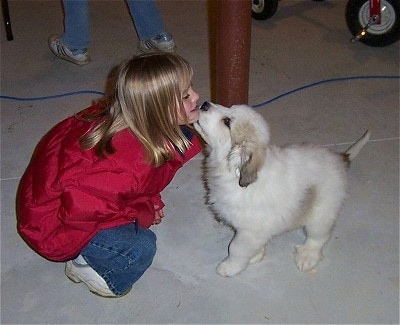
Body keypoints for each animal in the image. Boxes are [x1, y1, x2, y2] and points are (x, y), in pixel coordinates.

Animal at [194, 101, 368, 276]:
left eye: (227, 121)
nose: (204, 104)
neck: (231, 173)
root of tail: (339, 159)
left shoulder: (249, 232)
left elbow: (236, 249)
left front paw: (229, 267)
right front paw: (256, 256)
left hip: (321, 214)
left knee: (319, 237)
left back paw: (307, 256)